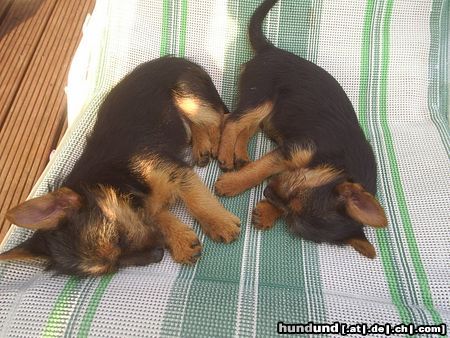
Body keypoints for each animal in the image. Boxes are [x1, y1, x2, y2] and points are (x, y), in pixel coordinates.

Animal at [0, 56, 241, 276]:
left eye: (118, 236)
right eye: (113, 267)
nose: (158, 255)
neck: (112, 178)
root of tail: (179, 58)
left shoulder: (173, 172)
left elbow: (197, 200)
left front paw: (219, 223)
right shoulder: (143, 205)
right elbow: (158, 215)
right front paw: (180, 240)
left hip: (190, 99)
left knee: (220, 118)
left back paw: (216, 142)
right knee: (195, 125)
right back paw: (201, 145)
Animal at [214, 0, 386, 258]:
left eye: (291, 218)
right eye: (296, 190)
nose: (266, 194)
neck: (339, 166)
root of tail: (270, 50)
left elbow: (265, 172)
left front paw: (267, 212)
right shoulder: (293, 150)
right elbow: (261, 170)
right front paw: (232, 184)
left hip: (267, 109)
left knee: (246, 127)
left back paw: (241, 154)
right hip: (261, 97)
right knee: (232, 120)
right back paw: (226, 153)